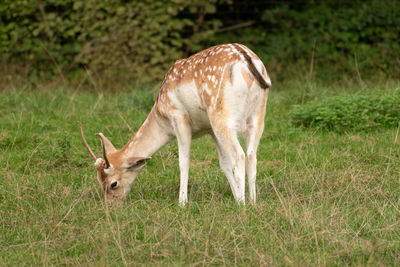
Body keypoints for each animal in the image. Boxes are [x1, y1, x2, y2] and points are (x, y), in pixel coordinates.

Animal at [79, 43, 270, 207]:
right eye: (98, 181)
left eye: (113, 184)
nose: (110, 205)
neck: (161, 116)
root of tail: (247, 60)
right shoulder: (209, 128)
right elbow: (224, 163)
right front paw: (235, 195)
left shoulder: (178, 117)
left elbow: (184, 161)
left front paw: (182, 202)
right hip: (257, 114)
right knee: (251, 155)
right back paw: (252, 202)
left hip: (222, 117)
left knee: (240, 155)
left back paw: (242, 205)